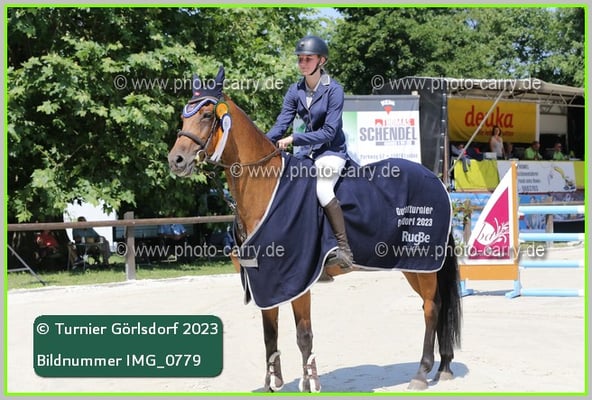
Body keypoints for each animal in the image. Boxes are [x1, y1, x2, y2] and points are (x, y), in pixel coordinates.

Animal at [168, 68, 462, 392]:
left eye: (207, 115)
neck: (264, 187)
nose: (176, 160)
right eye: (183, 116)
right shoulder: (265, 280)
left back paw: (421, 373)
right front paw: (273, 383)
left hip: (422, 262)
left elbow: (303, 335)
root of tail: (434, 179)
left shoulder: (296, 278)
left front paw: (311, 383)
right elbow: (270, 335)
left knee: (432, 307)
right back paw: (443, 368)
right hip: (414, 265)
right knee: (435, 306)